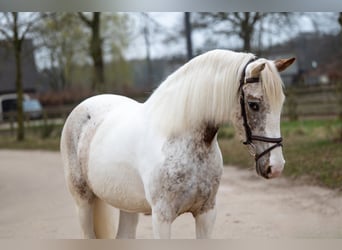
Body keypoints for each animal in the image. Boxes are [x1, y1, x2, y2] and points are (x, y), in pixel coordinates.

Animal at [60, 49, 296, 238]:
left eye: (281, 103)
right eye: (254, 104)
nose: (276, 166)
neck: (179, 138)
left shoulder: (206, 213)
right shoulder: (161, 217)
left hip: (126, 204)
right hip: (83, 202)